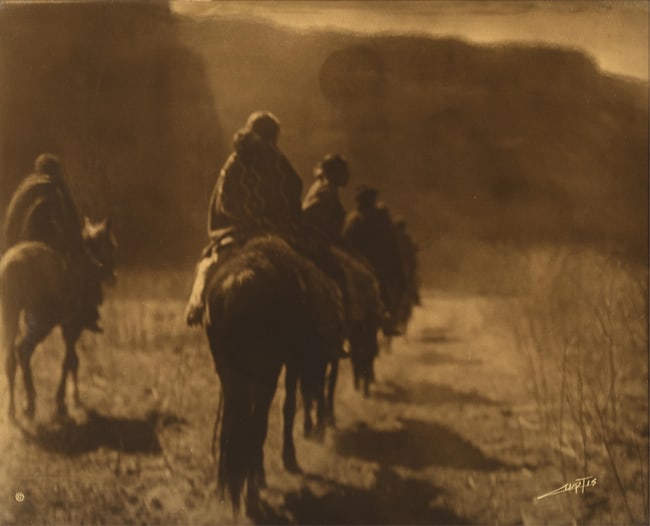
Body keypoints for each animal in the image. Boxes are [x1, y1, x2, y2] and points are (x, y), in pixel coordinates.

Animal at [0, 217, 116, 422]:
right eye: (110, 244)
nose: (113, 276)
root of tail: (12, 264)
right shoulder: (72, 326)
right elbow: (70, 361)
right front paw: (65, 401)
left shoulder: (66, 326)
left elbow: (72, 360)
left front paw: (70, 400)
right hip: (41, 321)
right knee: (23, 351)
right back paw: (29, 405)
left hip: (10, 313)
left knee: (10, 357)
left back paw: (12, 411)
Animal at [204, 235, 344, 516]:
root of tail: (239, 283)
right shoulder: (290, 361)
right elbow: (288, 406)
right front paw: (287, 458)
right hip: (265, 372)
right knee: (257, 422)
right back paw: (252, 493)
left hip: (231, 372)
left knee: (236, 424)